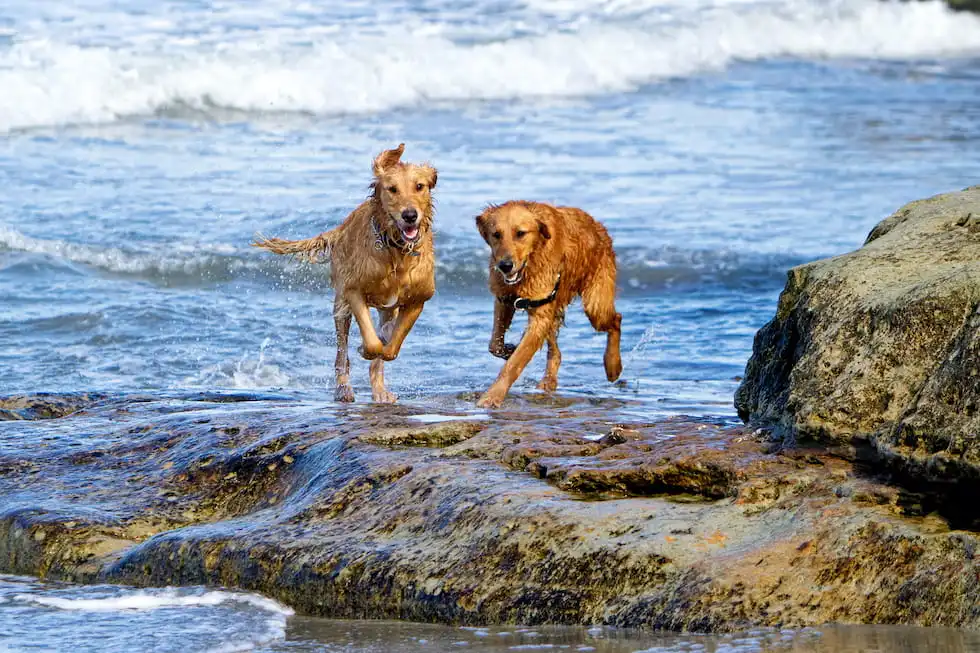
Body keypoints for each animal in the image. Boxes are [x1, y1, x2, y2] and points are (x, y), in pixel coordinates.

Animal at [253, 143, 436, 402]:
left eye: (419, 186)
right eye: (392, 189)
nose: (409, 215)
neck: (395, 250)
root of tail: (341, 228)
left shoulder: (418, 300)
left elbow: (390, 348)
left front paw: (386, 340)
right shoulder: (353, 291)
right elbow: (372, 344)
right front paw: (365, 348)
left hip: (385, 307)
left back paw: (380, 390)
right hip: (340, 305)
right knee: (342, 353)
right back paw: (343, 389)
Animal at [472, 200, 620, 408]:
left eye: (520, 233)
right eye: (496, 234)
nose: (505, 266)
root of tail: (598, 226)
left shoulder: (540, 312)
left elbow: (515, 363)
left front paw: (492, 396)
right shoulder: (504, 299)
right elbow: (494, 344)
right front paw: (509, 350)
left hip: (595, 304)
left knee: (616, 320)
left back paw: (613, 366)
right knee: (556, 352)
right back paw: (549, 381)